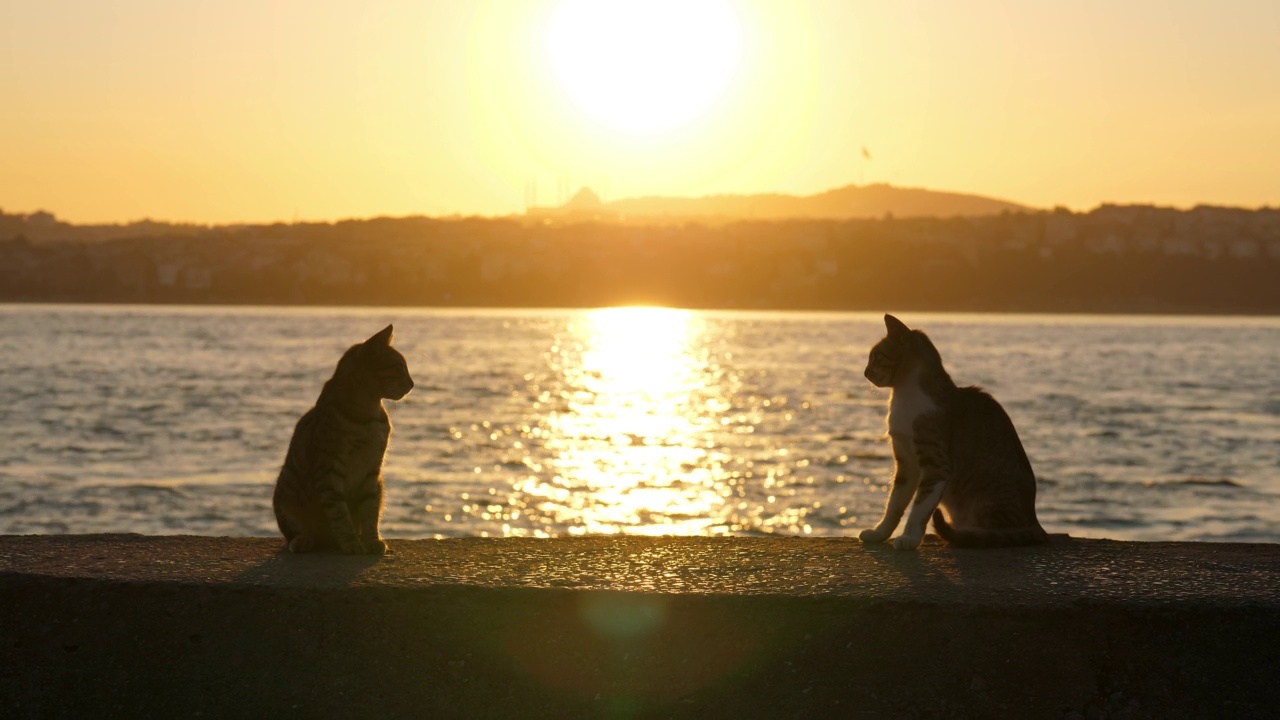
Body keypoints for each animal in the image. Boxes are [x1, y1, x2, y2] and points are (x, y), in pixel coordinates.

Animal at [273, 322, 414, 550]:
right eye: (400, 367)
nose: (412, 384)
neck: (367, 413)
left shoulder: (372, 470)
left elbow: (370, 512)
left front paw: (371, 541)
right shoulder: (329, 469)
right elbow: (339, 514)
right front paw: (351, 543)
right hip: (286, 494)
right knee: (297, 533)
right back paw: (305, 540)